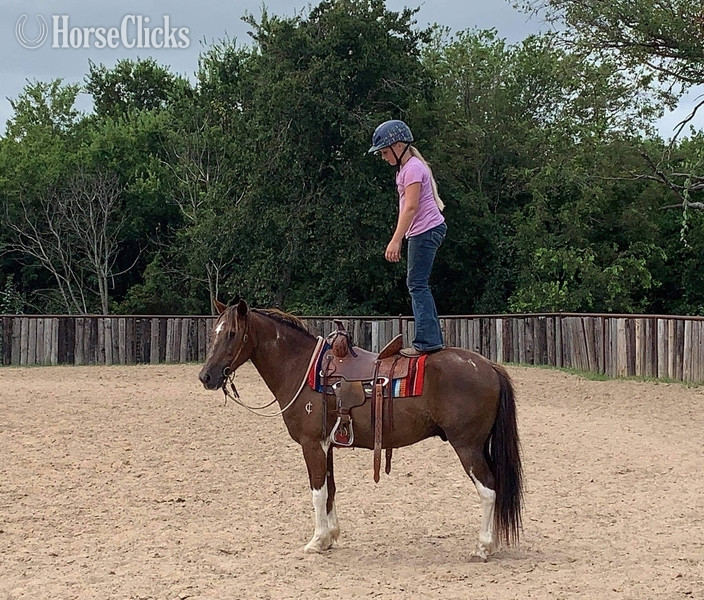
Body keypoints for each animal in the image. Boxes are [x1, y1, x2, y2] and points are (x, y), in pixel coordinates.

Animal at [198, 299, 523, 560]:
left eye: (231, 334)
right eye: (213, 333)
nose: (206, 376)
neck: (302, 368)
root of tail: (489, 366)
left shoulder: (311, 444)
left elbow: (317, 492)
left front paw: (316, 541)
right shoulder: (326, 444)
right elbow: (329, 489)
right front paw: (330, 537)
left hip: (467, 446)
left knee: (488, 489)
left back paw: (482, 547)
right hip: (480, 446)